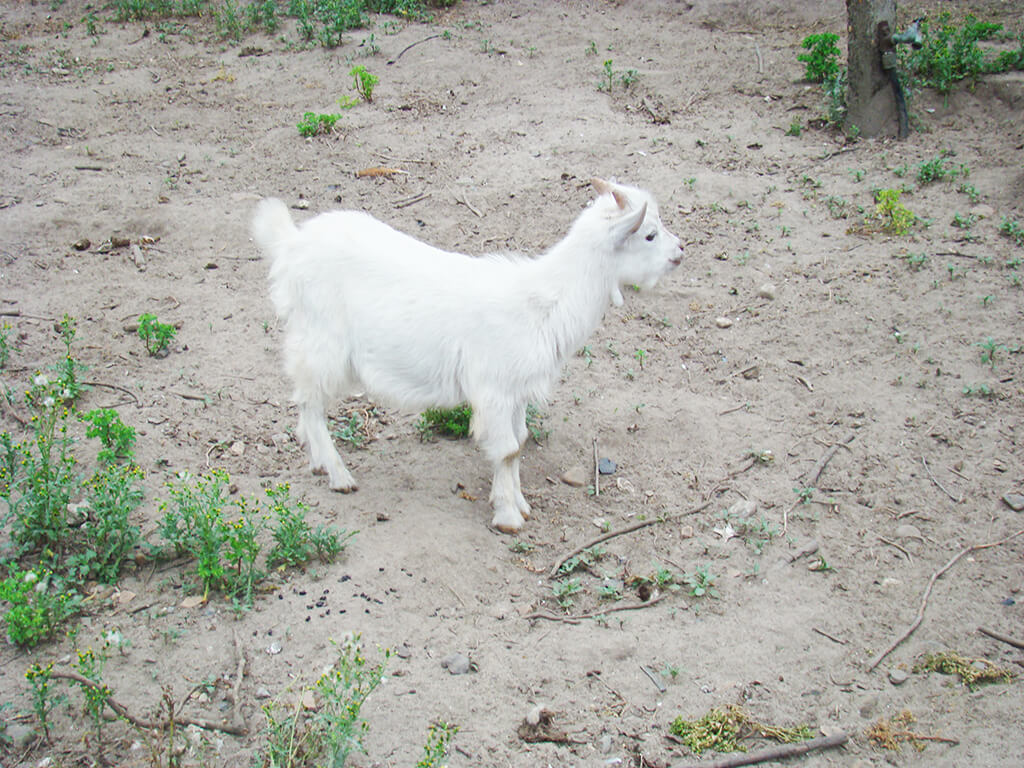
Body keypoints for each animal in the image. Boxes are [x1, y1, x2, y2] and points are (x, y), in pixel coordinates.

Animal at [249, 178, 679, 532]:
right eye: (649, 234)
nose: (681, 250)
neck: (546, 300)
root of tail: (290, 243)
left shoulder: (516, 391)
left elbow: (520, 443)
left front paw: (519, 503)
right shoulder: (494, 388)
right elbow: (506, 449)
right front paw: (508, 517)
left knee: (305, 402)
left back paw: (318, 461)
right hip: (322, 342)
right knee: (310, 402)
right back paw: (338, 475)